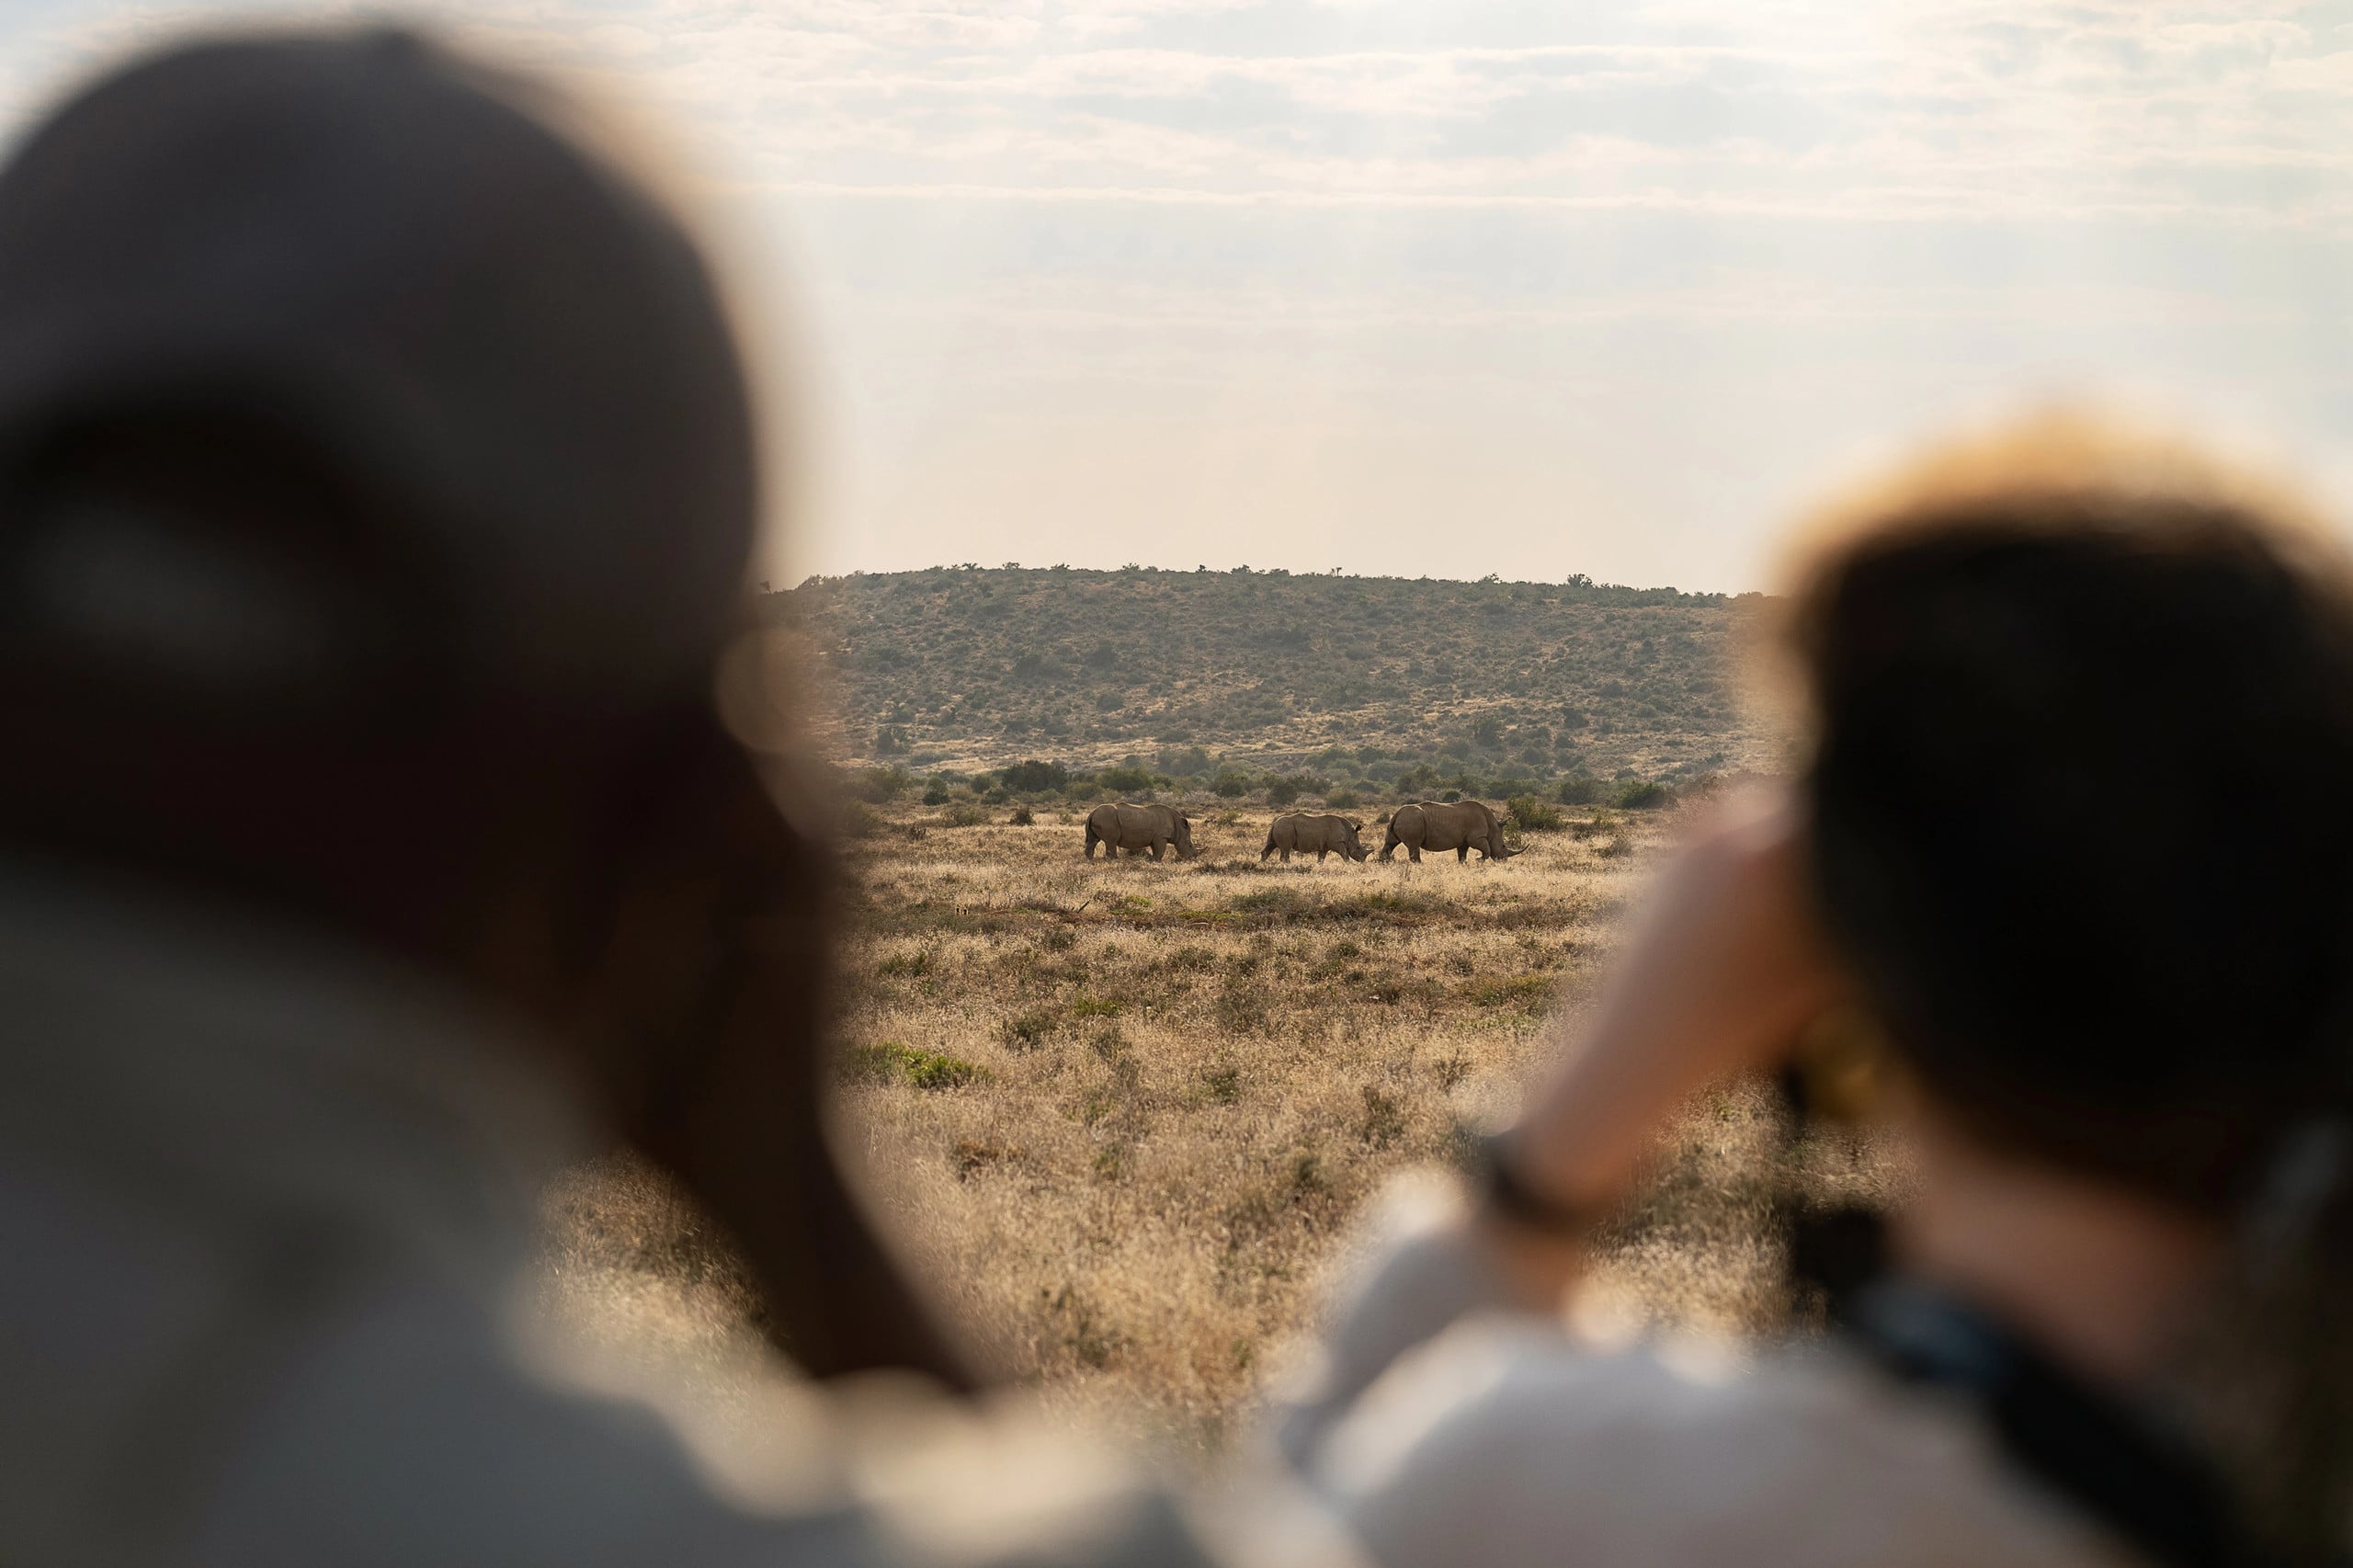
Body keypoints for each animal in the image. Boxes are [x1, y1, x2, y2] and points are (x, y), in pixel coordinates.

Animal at [1380, 800, 1517, 863]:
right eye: (1503, 846)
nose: (1503, 861)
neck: (1493, 827)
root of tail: (1397, 813)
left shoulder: (1463, 841)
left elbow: (1462, 855)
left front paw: (1464, 864)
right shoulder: (1477, 837)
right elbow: (1486, 849)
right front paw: (1478, 860)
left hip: (1402, 820)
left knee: (1390, 843)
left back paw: (1384, 863)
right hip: (1412, 820)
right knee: (1414, 846)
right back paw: (1419, 865)